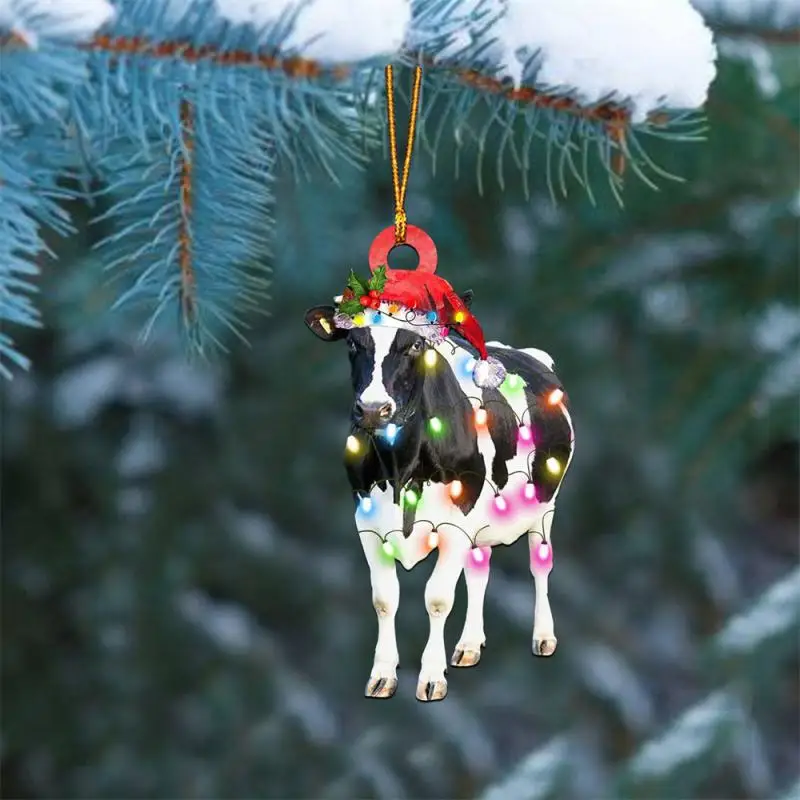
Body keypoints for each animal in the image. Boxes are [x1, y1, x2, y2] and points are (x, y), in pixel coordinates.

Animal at [304, 292, 572, 700]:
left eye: (416, 345)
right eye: (352, 342)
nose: (372, 410)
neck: (401, 467)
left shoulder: (455, 524)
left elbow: (438, 598)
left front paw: (431, 677)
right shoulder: (366, 521)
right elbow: (384, 599)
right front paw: (382, 675)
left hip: (545, 506)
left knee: (540, 565)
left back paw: (543, 637)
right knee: (479, 571)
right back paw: (469, 646)